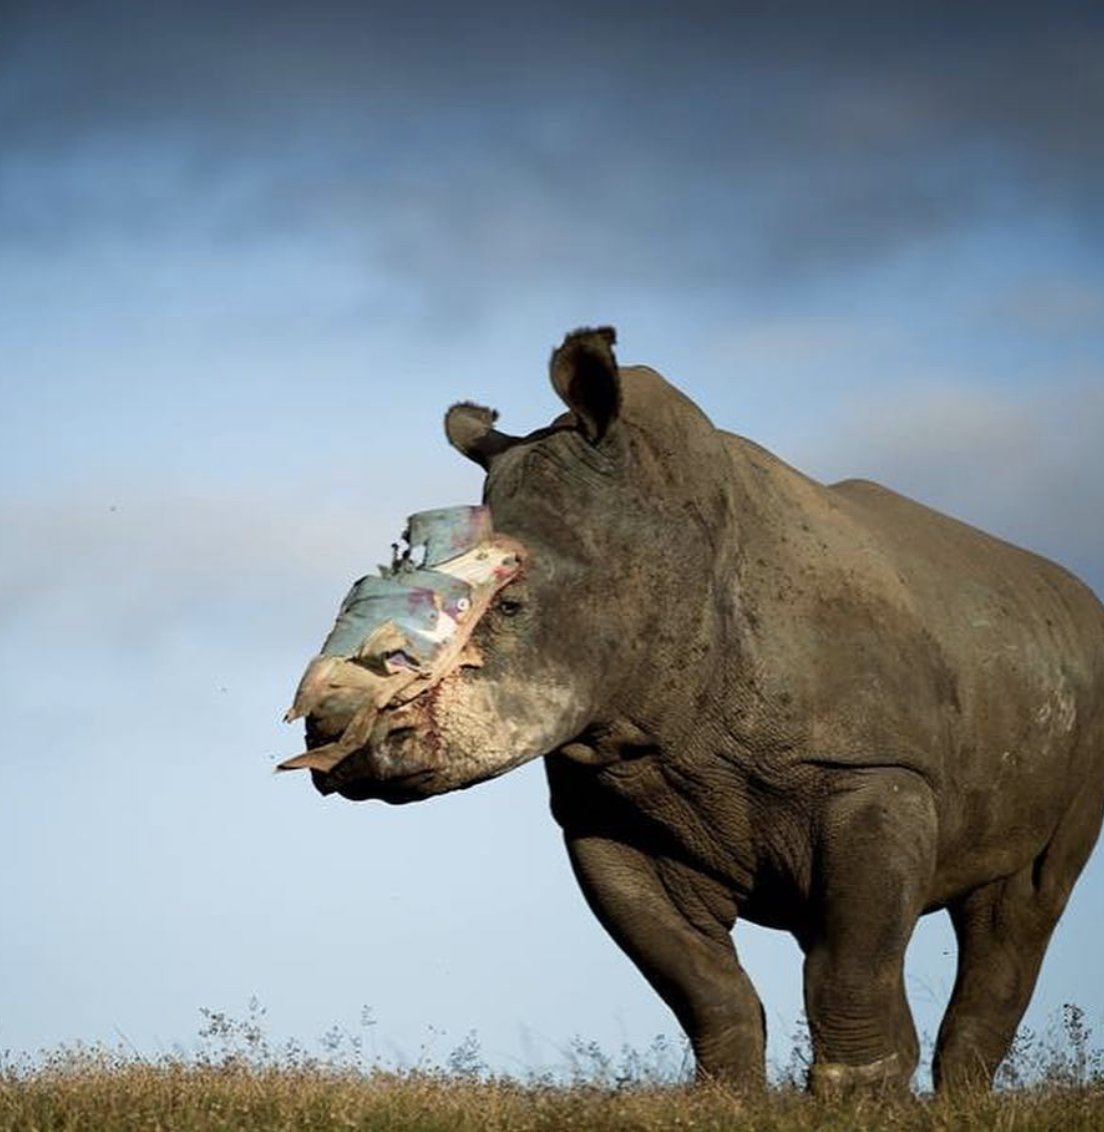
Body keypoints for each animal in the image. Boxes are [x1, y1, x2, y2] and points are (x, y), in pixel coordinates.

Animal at [282, 327, 1104, 1095]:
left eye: (510, 606)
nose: (335, 734)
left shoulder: (875, 770)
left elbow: (852, 960)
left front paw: (859, 1101)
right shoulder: (606, 808)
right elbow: (700, 984)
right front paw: (728, 1099)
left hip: (1081, 702)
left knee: (1022, 908)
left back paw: (965, 1098)